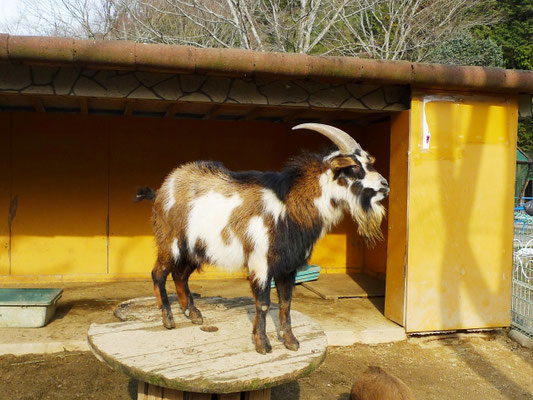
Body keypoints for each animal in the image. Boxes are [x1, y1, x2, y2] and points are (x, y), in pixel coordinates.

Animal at [139, 123, 388, 354]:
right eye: (353, 167)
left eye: (369, 163)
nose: (385, 185)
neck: (289, 205)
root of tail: (162, 189)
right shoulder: (260, 262)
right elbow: (264, 303)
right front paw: (263, 344)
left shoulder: (288, 265)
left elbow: (286, 303)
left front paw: (291, 341)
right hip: (169, 241)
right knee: (158, 273)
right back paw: (168, 319)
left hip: (194, 249)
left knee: (180, 276)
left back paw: (193, 314)